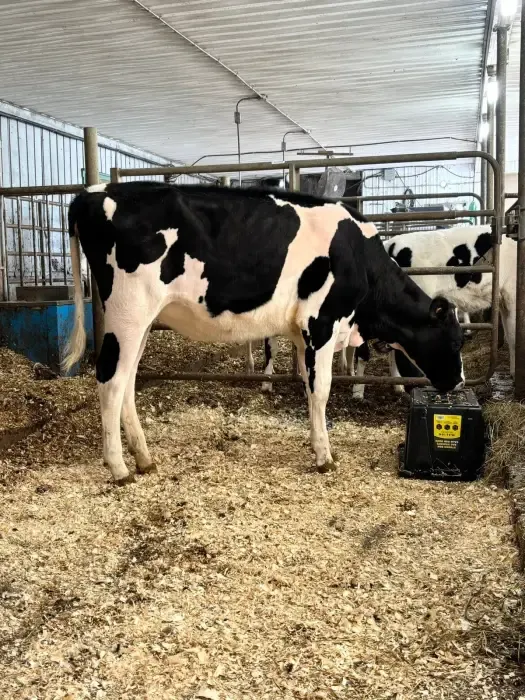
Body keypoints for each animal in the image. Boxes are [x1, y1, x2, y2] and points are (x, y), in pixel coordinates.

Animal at [63, 182, 465, 484]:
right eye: (456, 339)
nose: (459, 381)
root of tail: (90, 193)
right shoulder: (321, 321)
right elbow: (321, 390)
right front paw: (325, 457)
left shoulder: (304, 332)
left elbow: (308, 387)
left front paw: (315, 444)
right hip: (128, 311)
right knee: (111, 379)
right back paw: (119, 468)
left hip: (143, 319)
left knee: (127, 380)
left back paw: (144, 458)